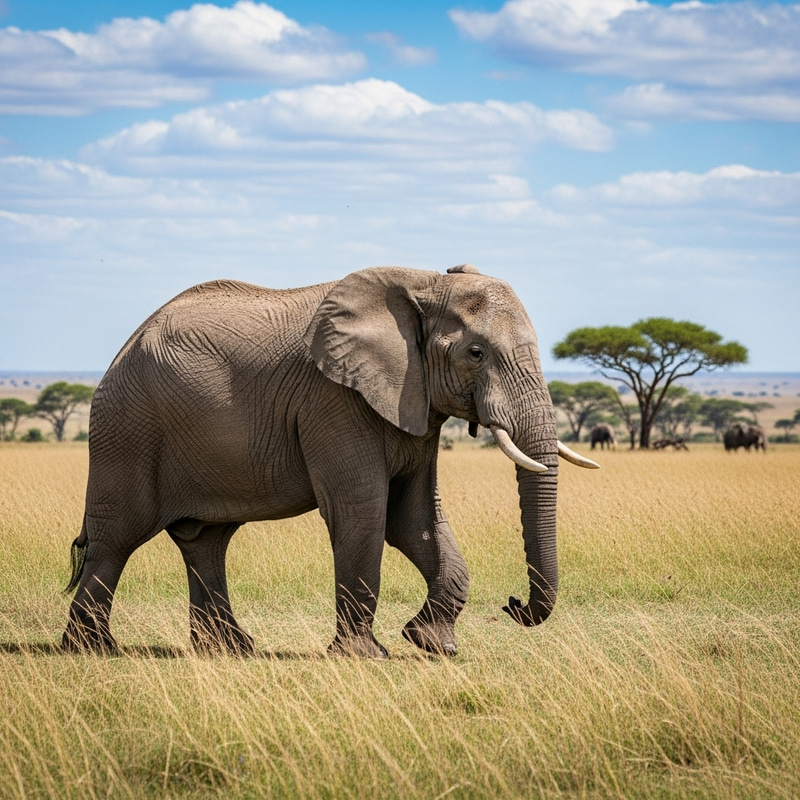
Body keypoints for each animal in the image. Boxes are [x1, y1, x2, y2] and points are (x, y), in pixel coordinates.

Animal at [62, 264, 599, 659]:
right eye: (476, 353)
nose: (513, 604)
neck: (423, 281)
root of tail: (123, 348)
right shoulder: (334, 399)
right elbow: (363, 511)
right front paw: (367, 656)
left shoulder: (415, 404)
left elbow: (414, 519)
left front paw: (432, 645)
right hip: (128, 428)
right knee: (118, 539)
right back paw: (93, 650)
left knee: (205, 540)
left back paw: (230, 650)